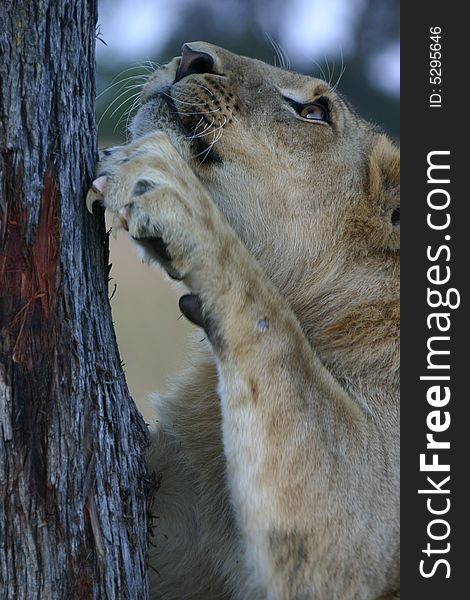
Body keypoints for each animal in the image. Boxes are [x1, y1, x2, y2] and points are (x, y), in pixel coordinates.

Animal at [86, 43, 398, 600]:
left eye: (314, 112)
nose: (189, 55)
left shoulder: (361, 524)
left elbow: (274, 330)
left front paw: (165, 186)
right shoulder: (182, 526)